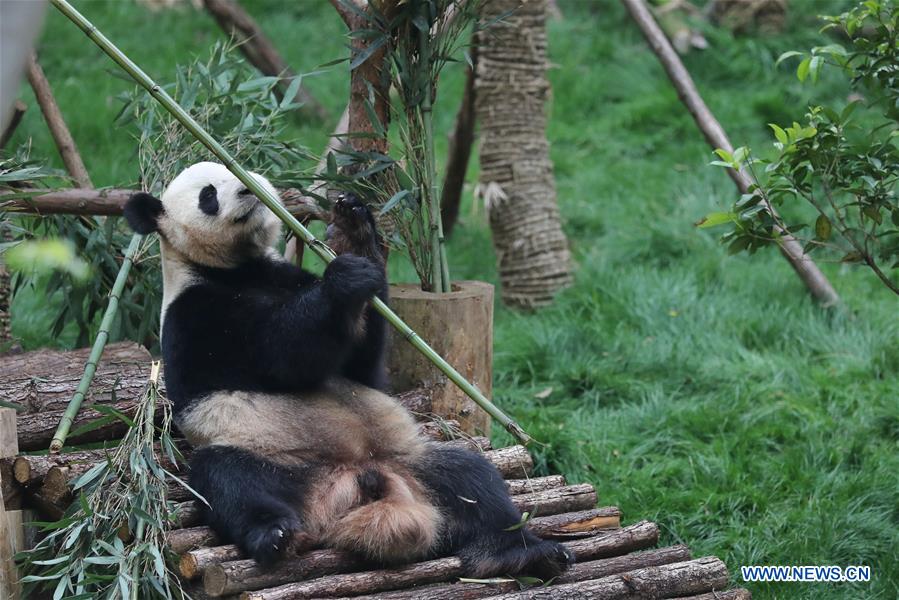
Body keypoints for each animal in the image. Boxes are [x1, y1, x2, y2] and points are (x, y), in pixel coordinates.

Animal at [124, 161, 572, 577]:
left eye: (244, 173)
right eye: (209, 195)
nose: (247, 192)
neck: (238, 267)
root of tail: (360, 482)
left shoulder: (286, 276)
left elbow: (362, 364)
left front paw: (355, 227)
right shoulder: (198, 313)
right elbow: (281, 356)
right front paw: (344, 278)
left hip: (414, 460)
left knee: (473, 481)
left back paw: (521, 553)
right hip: (268, 454)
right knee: (228, 482)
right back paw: (276, 535)